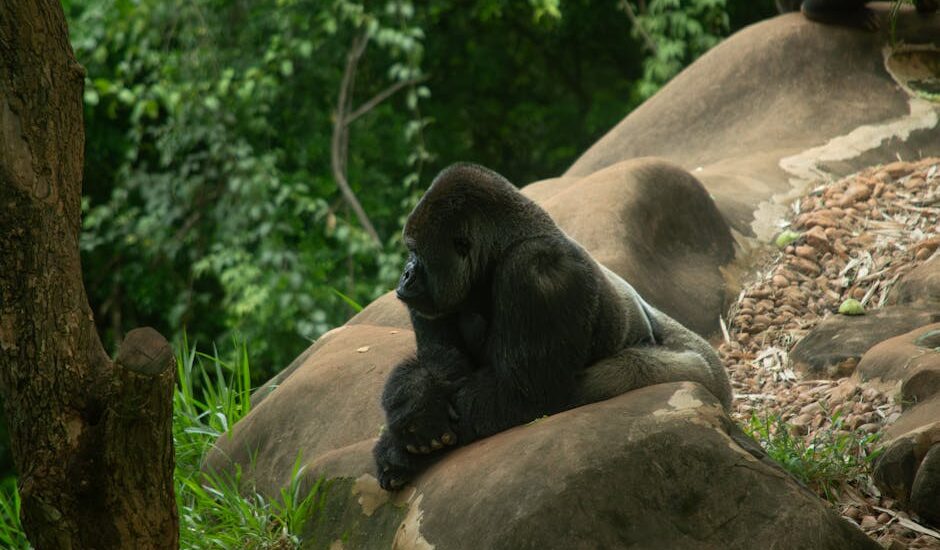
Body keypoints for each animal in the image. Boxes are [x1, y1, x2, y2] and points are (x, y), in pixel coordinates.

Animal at [372, 163, 733, 491]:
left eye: (415, 252)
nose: (405, 276)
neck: (499, 250)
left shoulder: (538, 271)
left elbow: (523, 394)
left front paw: (396, 447)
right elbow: (442, 362)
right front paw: (415, 400)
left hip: (702, 369)